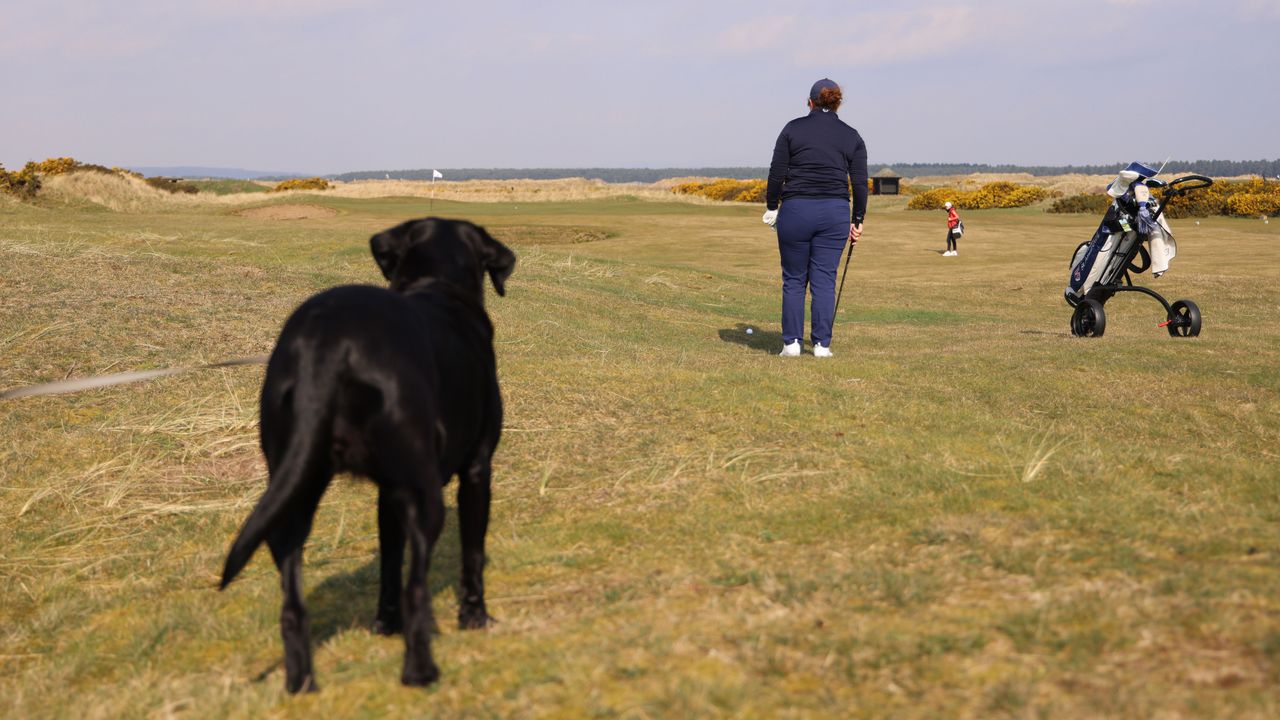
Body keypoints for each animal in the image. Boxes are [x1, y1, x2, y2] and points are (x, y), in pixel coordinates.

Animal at [220, 217, 514, 691]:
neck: (437, 284)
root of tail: (329, 342)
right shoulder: (476, 469)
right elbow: (471, 553)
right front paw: (474, 617)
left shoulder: (388, 493)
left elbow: (389, 564)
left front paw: (384, 625)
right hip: (426, 494)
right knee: (417, 589)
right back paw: (420, 672)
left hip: (293, 489)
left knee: (292, 604)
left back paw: (302, 684)